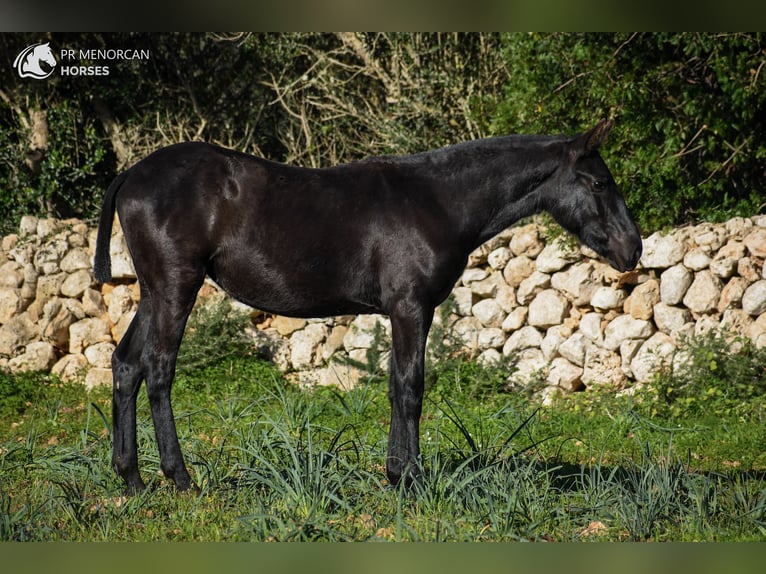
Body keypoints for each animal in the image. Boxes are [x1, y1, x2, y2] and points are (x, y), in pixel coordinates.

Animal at [94, 118, 640, 496]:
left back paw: (131, 479)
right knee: (158, 369)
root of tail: (132, 174)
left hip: (154, 292)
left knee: (126, 365)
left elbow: (397, 387)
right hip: (176, 287)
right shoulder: (410, 307)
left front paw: (396, 474)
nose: (632, 249)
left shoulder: (406, 310)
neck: (438, 201)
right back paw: (180, 478)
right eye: (599, 183)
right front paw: (410, 479)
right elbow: (410, 388)